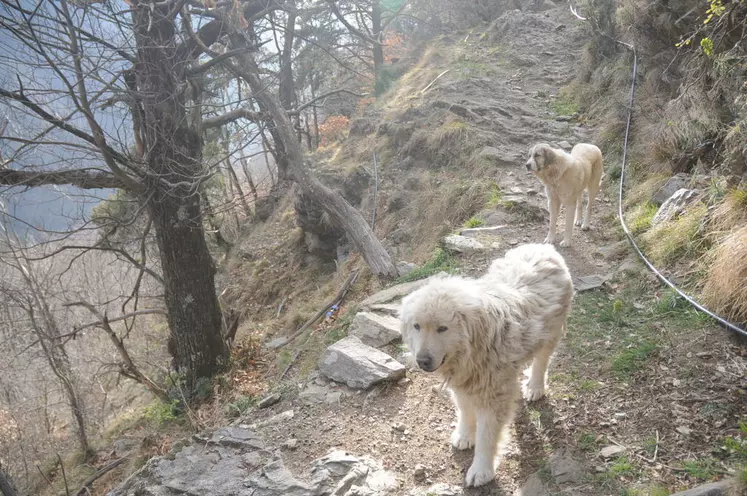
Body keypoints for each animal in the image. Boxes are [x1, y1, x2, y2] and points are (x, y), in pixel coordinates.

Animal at [404, 246, 572, 486]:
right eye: (417, 326)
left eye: (442, 328)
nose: (422, 361)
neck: (475, 347)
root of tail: (542, 247)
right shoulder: (464, 382)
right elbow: (465, 410)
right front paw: (464, 435)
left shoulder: (492, 395)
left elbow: (487, 436)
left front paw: (481, 470)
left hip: (551, 332)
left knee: (541, 361)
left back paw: (535, 387)